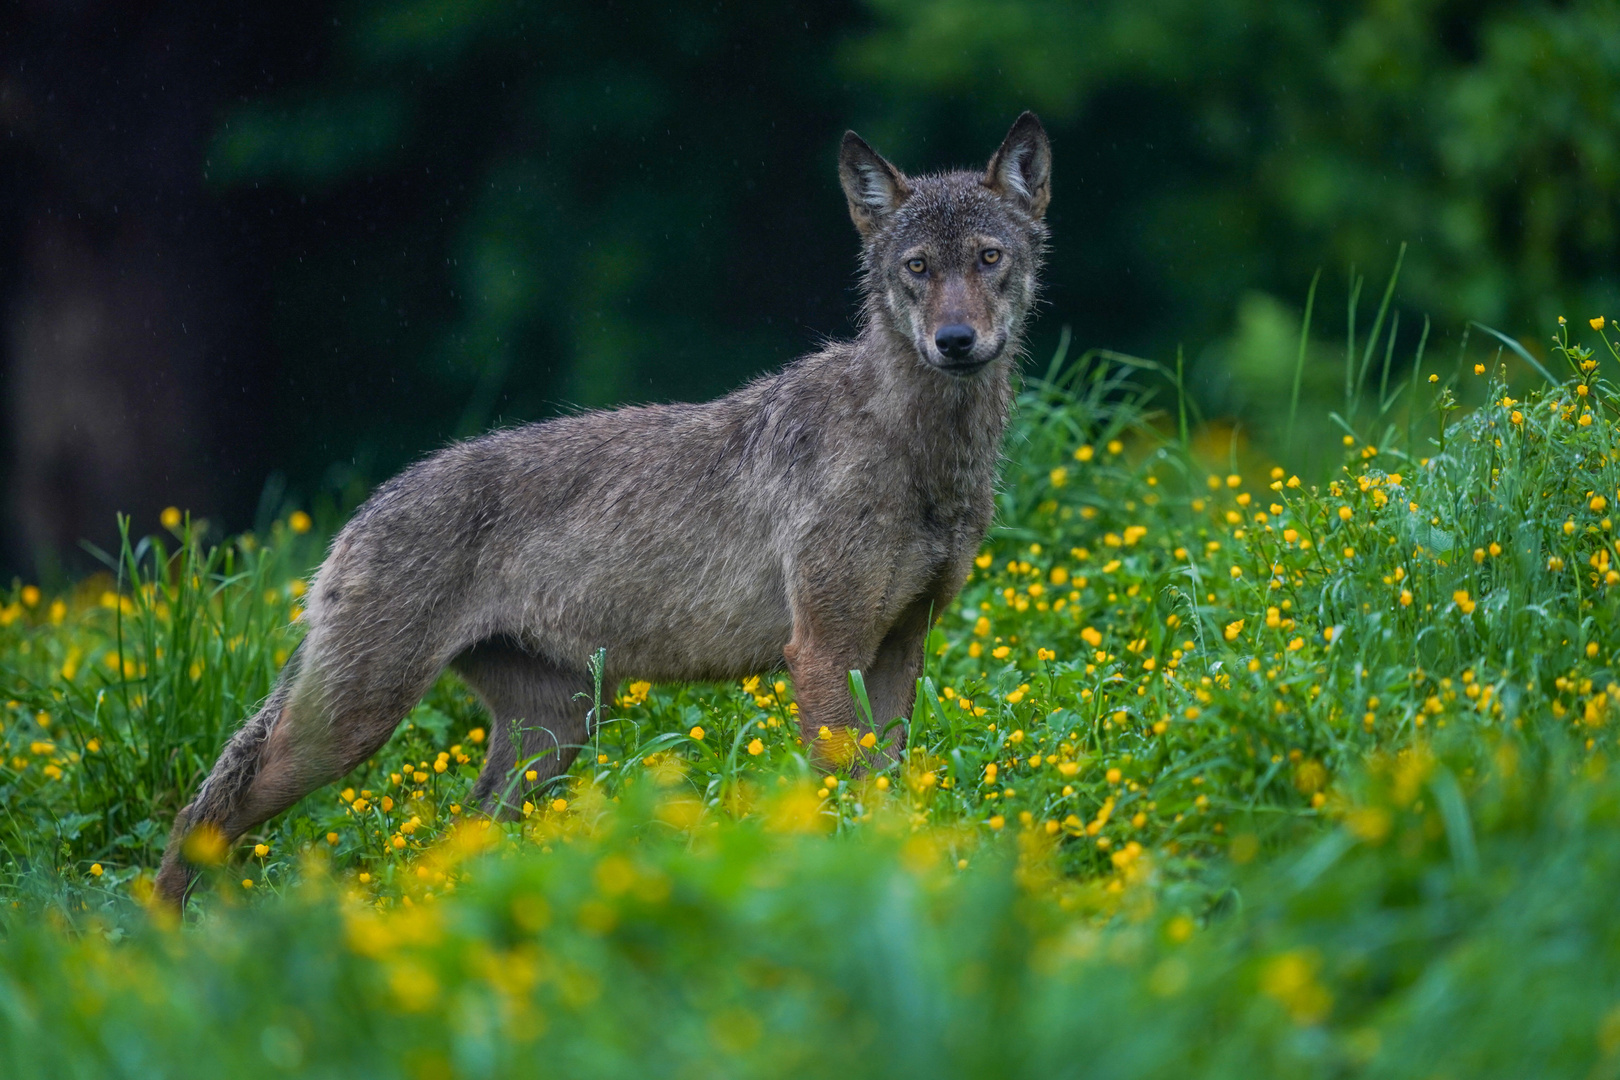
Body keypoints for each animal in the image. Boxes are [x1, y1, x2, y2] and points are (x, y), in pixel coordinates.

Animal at [157, 111, 1056, 906]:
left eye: (988, 258)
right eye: (917, 268)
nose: (954, 342)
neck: (920, 451)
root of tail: (355, 515)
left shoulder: (902, 644)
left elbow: (891, 787)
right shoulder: (824, 650)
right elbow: (848, 791)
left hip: (552, 732)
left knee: (455, 833)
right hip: (357, 723)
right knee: (203, 811)